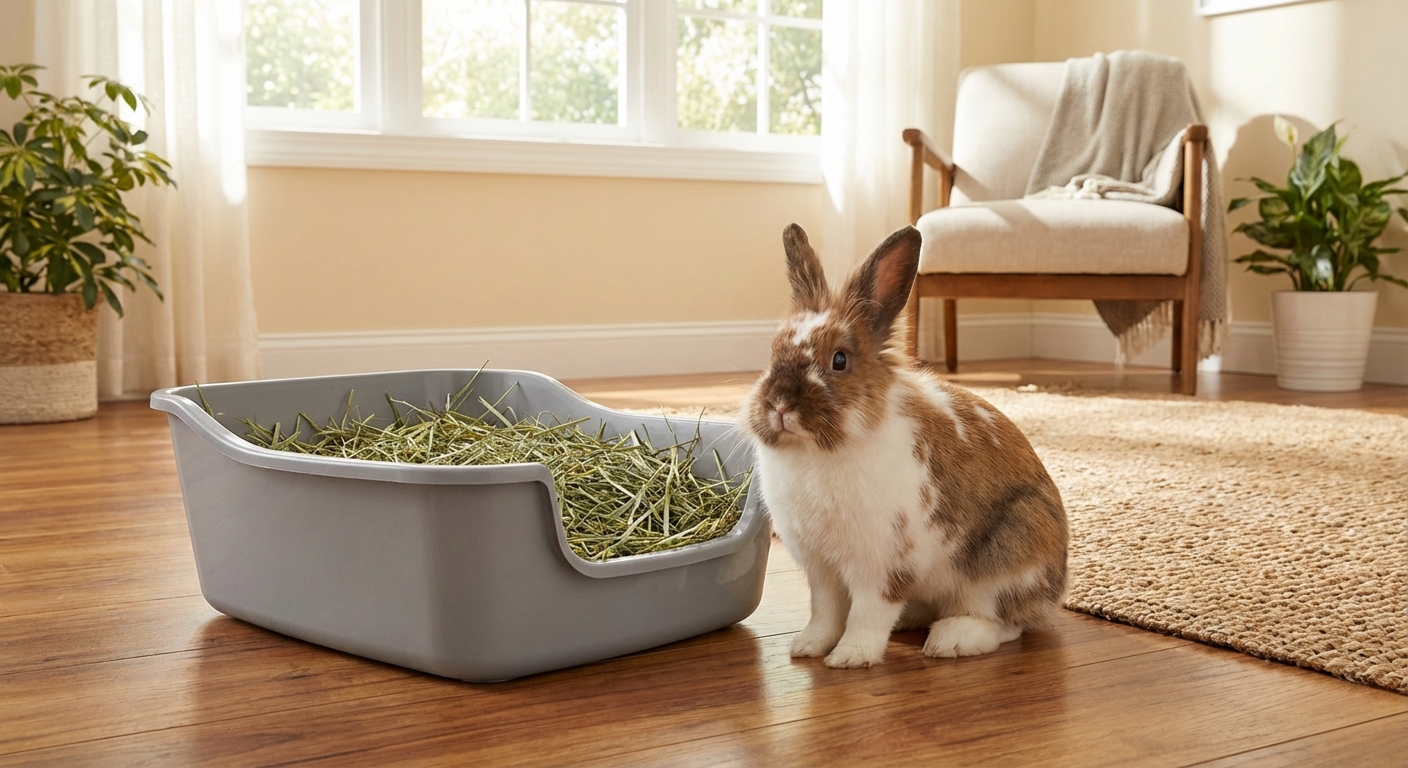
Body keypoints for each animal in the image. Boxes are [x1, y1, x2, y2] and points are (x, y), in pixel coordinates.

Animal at [741, 223, 1068, 669]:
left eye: (839, 360)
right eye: (773, 352)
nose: (779, 407)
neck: (815, 453)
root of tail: (1056, 591)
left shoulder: (879, 566)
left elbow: (868, 613)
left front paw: (851, 657)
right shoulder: (821, 569)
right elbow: (825, 611)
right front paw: (807, 647)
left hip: (1007, 559)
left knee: (1005, 623)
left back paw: (951, 640)